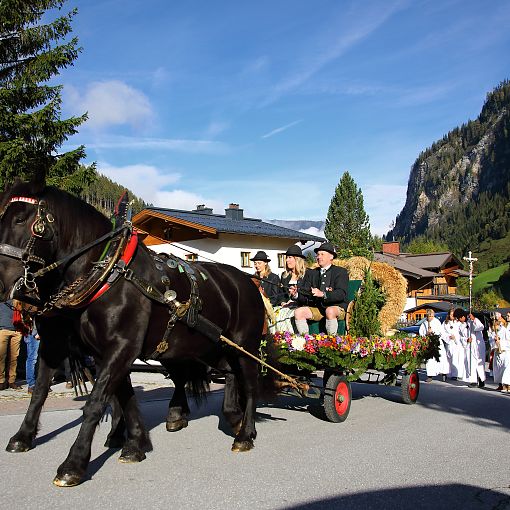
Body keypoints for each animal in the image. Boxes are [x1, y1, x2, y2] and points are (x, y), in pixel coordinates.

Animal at [0, 175, 270, 486]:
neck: (107, 272)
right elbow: (101, 395)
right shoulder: (89, 349)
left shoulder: (120, 346)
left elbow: (96, 402)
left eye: (21, 219)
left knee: (249, 384)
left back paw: (245, 434)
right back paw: (225, 416)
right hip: (206, 346)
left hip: (245, 345)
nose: (2, 282)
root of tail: (247, 281)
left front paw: (74, 463)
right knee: (225, 373)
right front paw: (134, 443)